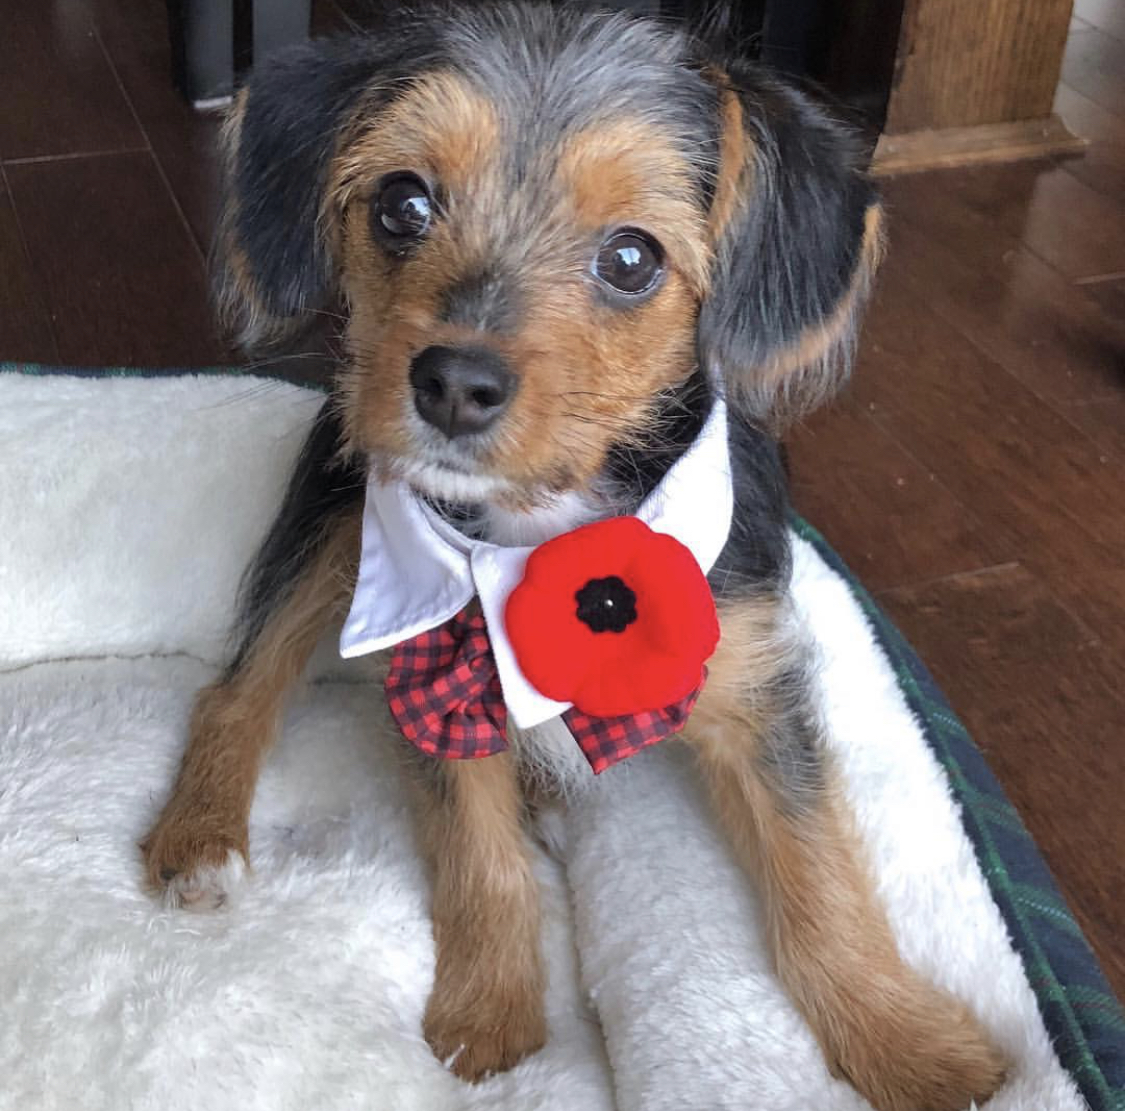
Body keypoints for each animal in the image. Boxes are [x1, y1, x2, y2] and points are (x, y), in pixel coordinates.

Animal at [136, 4, 1008, 1106]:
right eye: (402, 205)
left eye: (632, 260)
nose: (453, 383)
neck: (547, 520)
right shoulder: (437, 674)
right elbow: (480, 857)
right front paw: (491, 1021)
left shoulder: (755, 685)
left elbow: (817, 868)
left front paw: (904, 1038)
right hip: (330, 524)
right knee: (239, 686)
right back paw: (200, 835)